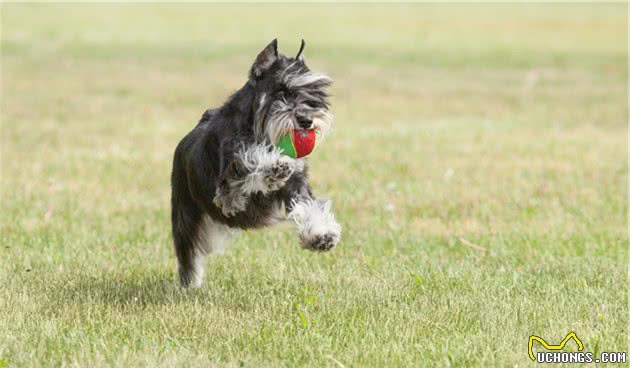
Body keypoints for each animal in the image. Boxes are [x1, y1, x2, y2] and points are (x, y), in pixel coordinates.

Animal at [170, 39, 344, 288]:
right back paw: (190, 284)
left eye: (315, 92)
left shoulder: (297, 183)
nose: (307, 120)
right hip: (184, 214)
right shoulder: (228, 191)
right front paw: (274, 166)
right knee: (188, 253)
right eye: (282, 91)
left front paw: (321, 235)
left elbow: (308, 206)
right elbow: (249, 161)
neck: (260, 131)